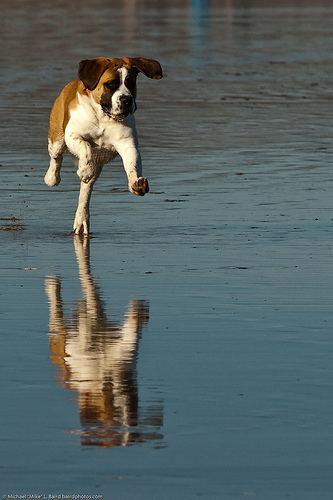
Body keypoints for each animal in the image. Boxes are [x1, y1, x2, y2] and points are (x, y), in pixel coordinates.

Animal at [43, 56, 163, 234]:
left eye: (130, 83)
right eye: (111, 84)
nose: (127, 100)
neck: (103, 116)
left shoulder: (128, 144)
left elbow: (132, 164)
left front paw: (137, 182)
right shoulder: (73, 135)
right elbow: (85, 147)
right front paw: (84, 170)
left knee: (85, 191)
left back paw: (82, 219)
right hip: (57, 137)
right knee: (56, 157)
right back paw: (52, 178)